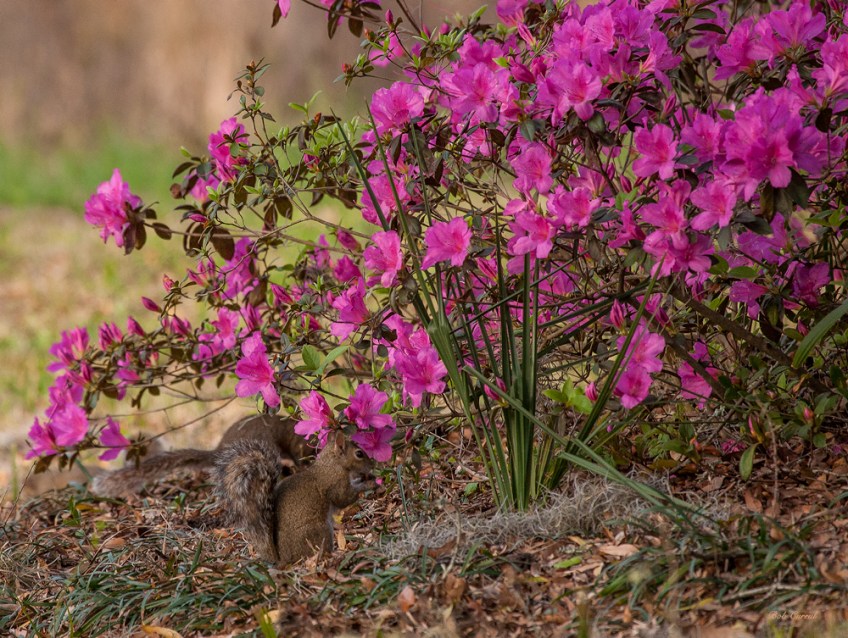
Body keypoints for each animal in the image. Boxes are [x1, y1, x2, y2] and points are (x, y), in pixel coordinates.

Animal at [215, 430, 375, 565]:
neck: (332, 463)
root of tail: (283, 559)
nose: (372, 466)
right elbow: (343, 499)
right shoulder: (335, 484)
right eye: (359, 454)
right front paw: (368, 485)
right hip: (320, 531)